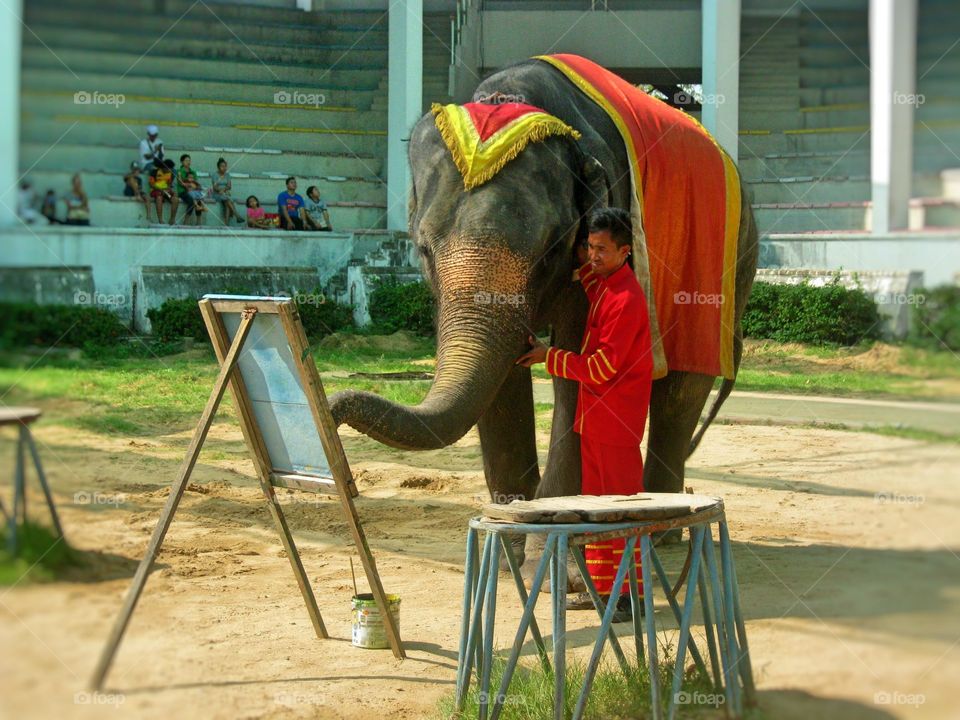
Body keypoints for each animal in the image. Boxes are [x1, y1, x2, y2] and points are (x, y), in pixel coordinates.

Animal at [330, 57, 760, 574]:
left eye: (552, 248)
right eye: (423, 249)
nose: (331, 411)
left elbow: (579, 365)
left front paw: (559, 562)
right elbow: (500, 387)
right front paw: (511, 543)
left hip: (725, 274)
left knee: (681, 388)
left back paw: (660, 533)